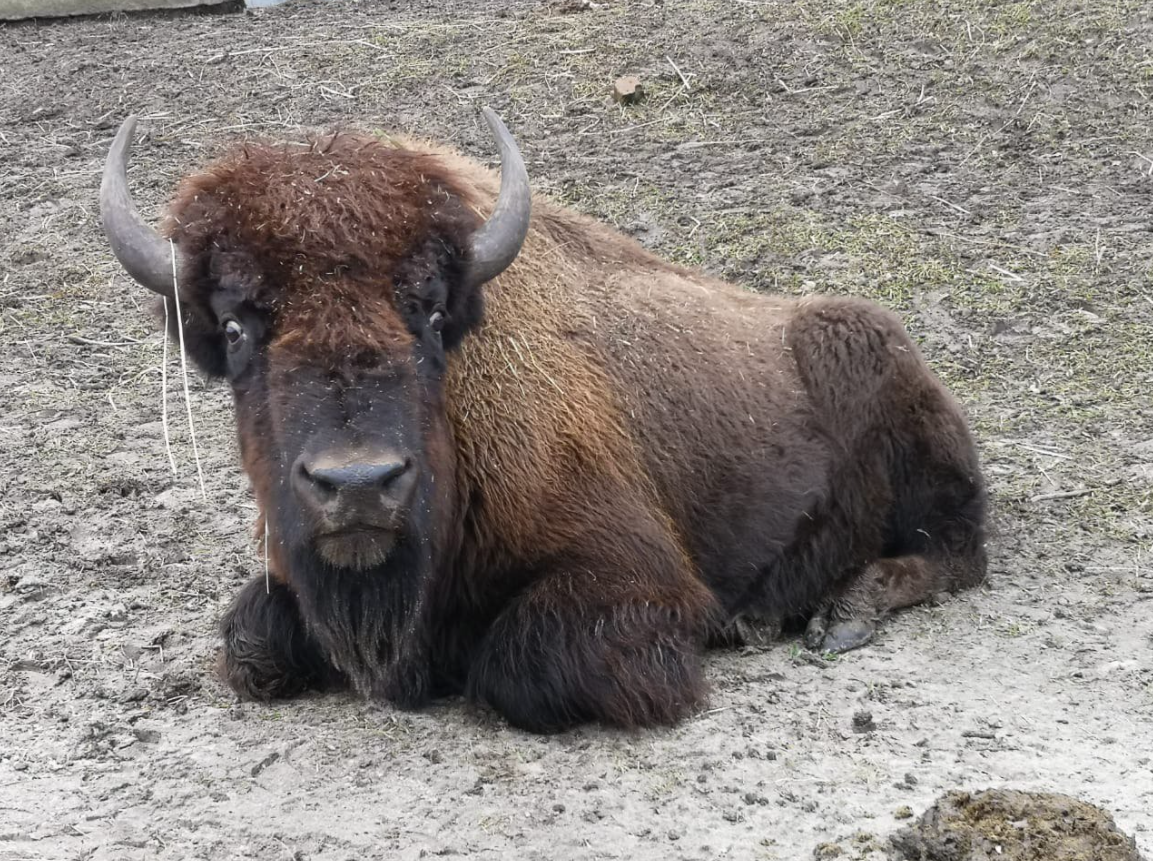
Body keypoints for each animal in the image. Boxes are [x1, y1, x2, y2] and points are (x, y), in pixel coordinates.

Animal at [99, 109, 986, 733]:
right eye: (237, 327)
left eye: (428, 312)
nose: (358, 484)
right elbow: (250, 644)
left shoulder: (635, 579)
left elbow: (512, 665)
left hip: (900, 421)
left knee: (952, 552)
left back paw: (820, 615)